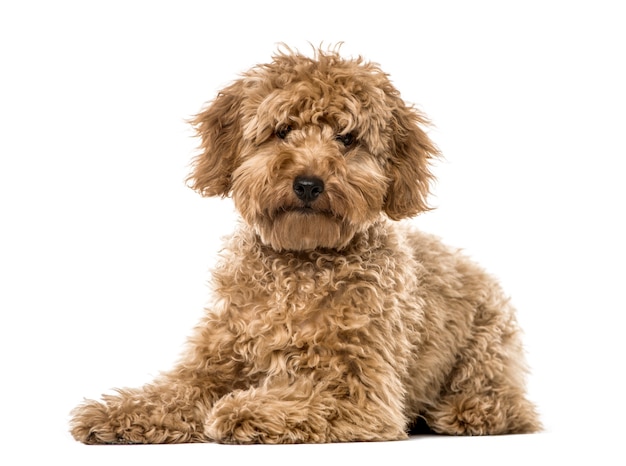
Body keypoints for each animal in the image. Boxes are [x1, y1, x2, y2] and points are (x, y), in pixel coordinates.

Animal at [67, 47, 536, 444]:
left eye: (346, 138)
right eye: (283, 130)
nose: (309, 183)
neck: (299, 266)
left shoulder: (359, 393)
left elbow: (300, 398)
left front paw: (245, 411)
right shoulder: (211, 364)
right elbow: (172, 392)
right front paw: (115, 411)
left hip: (487, 347)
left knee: (508, 405)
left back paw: (465, 411)